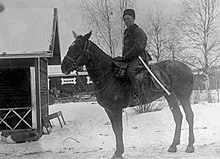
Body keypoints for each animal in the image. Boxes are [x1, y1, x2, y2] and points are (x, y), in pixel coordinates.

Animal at [60, 31, 194, 159]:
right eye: (70, 47)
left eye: (78, 47)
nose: (63, 67)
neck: (107, 74)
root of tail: (186, 67)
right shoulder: (108, 110)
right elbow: (115, 130)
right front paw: (118, 151)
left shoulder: (116, 109)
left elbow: (119, 129)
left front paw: (118, 152)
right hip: (170, 97)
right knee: (178, 117)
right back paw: (173, 145)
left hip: (183, 97)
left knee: (189, 116)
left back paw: (190, 146)